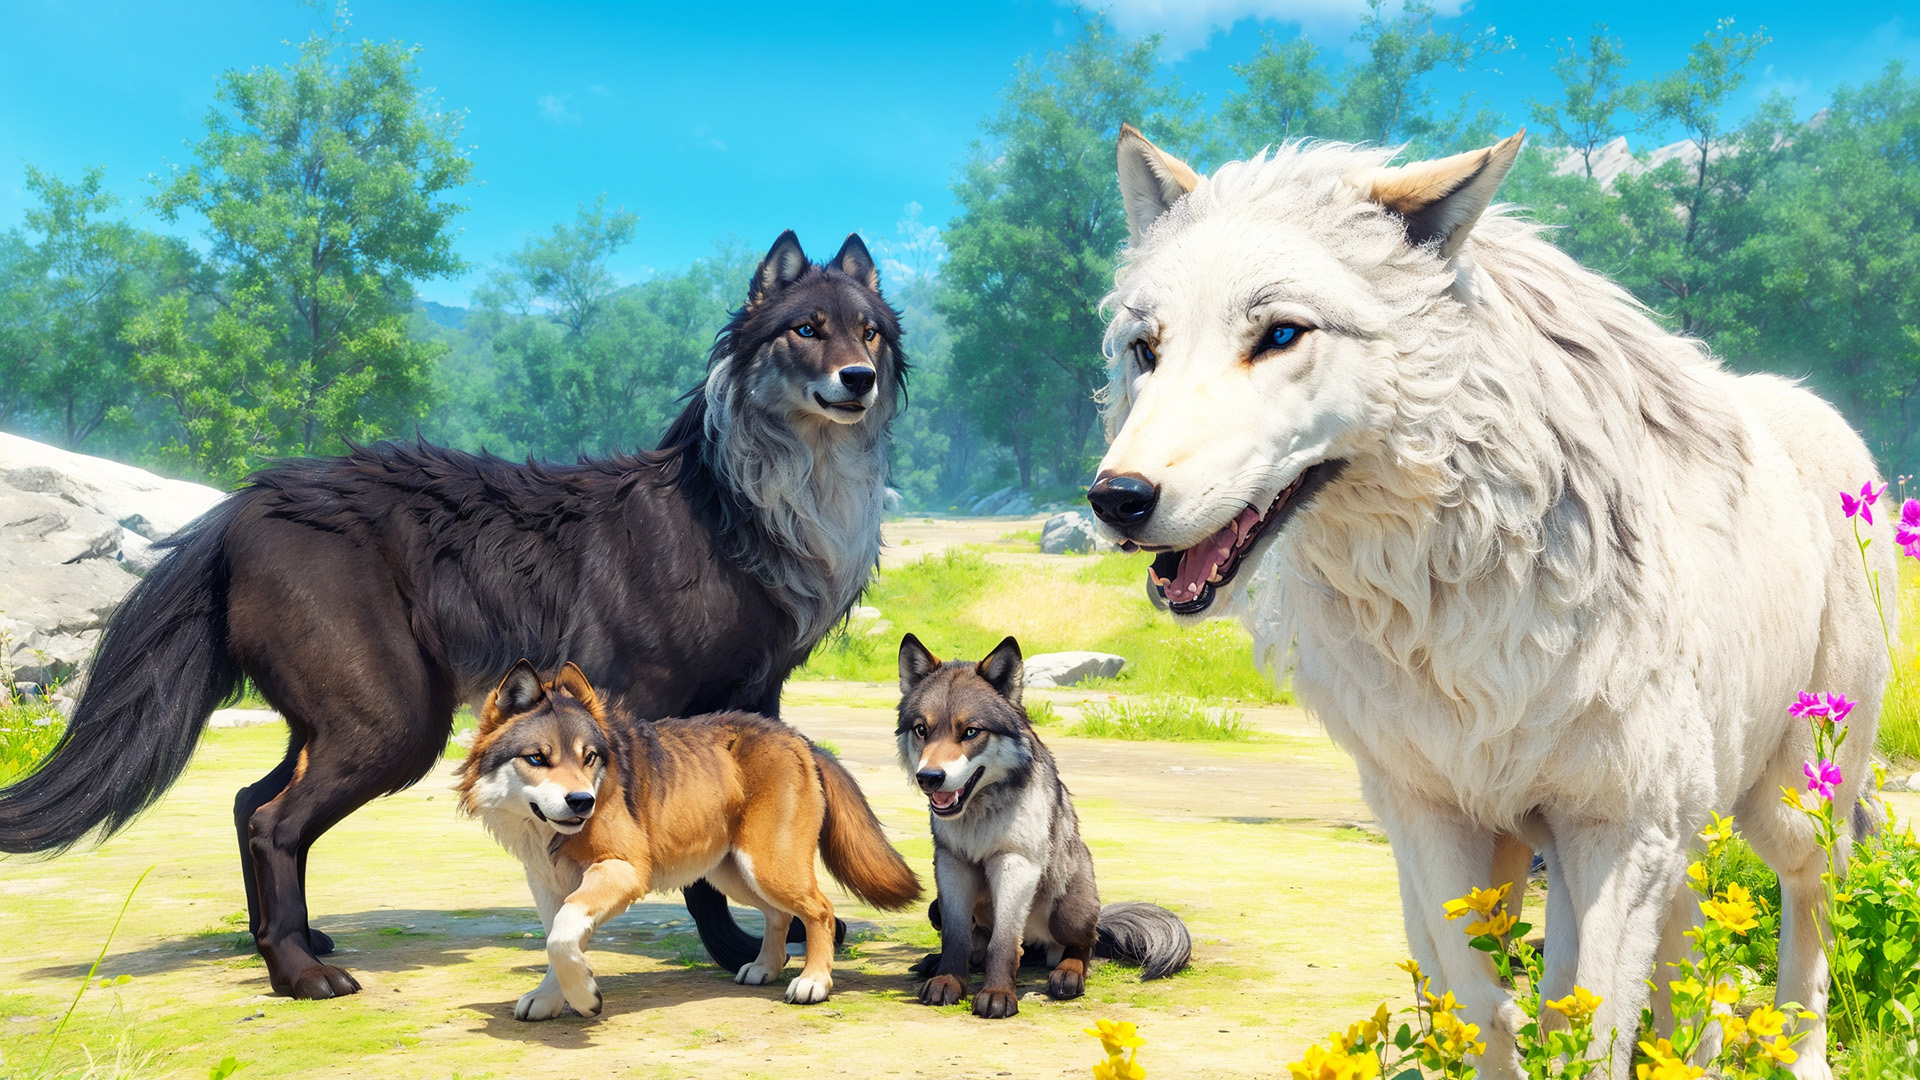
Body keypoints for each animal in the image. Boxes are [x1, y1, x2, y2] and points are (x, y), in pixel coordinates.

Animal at [457, 660, 920, 1019]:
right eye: (537, 757)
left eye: (589, 757)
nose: (582, 802)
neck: (549, 834)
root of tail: (795, 736)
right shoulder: (551, 888)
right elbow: (559, 938)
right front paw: (553, 997)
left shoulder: (623, 870)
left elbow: (562, 936)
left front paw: (584, 998)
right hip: (734, 873)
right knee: (779, 915)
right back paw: (765, 968)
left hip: (768, 865)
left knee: (820, 911)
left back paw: (814, 982)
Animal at [896, 634, 1191, 1019]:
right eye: (922, 730)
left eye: (971, 731)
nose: (929, 778)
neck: (981, 811)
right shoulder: (951, 864)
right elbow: (956, 937)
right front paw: (948, 980)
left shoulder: (1016, 863)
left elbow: (1005, 942)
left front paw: (997, 994)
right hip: (936, 906)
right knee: (987, 947)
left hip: (1067, 911)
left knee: (1082, 946)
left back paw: (1068, 974)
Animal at [1088, 125, 1892, 1077]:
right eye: (1146, 348)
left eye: (1280, 333)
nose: (1117, 498)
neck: (1453, 586)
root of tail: (1818, 410)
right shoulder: (1435, 817)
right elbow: (1486, 1008)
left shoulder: (1620, 825)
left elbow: (1587, 1029)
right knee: (1677, 956)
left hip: (1788, 800)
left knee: (1808, 902)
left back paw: (1800, 1054)